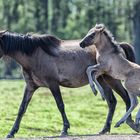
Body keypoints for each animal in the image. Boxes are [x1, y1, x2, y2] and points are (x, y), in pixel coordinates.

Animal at [0, 30, 138, 138]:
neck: (35, 55)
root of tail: (118, 46)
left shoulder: (53, 84)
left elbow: (60, 105)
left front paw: (65, 129)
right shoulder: (30, 87)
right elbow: (22, 108)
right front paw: (11, 132)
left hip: (113, 80)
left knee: (126, 98)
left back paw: (130, 123)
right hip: (102, 80)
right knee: (112, 101)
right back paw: (105, 129)